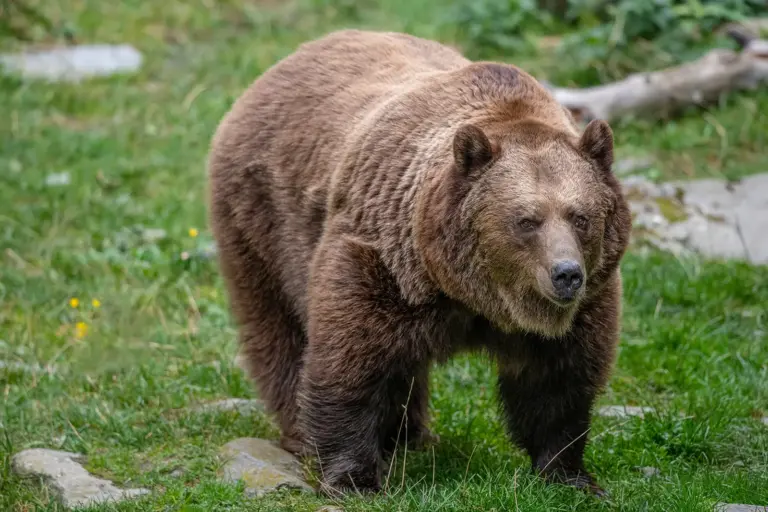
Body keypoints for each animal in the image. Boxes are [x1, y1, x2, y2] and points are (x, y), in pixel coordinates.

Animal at [207, 29, 632, 497]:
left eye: (581, 217)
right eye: (526, 220)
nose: (566, 275)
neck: (472, 294)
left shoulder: (584, 303)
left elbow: (558, 380)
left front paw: (569, 474)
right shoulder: (383, 263)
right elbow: (349, 361)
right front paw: (353, 476)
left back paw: (407, 434)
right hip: (262, 223)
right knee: (278, 327)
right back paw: (305, 430)